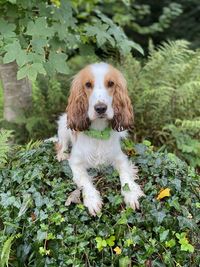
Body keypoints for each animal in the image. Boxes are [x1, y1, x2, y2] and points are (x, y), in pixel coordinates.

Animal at [56, 63, 144, 218]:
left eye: (111, 83)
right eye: (87, 84)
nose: (100, 108)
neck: (99, 133)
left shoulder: (120, 158)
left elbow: (126, 177)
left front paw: (131, 194)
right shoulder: (76, 163)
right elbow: (85, 181)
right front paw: (92, 200)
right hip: (63, 125)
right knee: (61, 143)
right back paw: (62, 154)